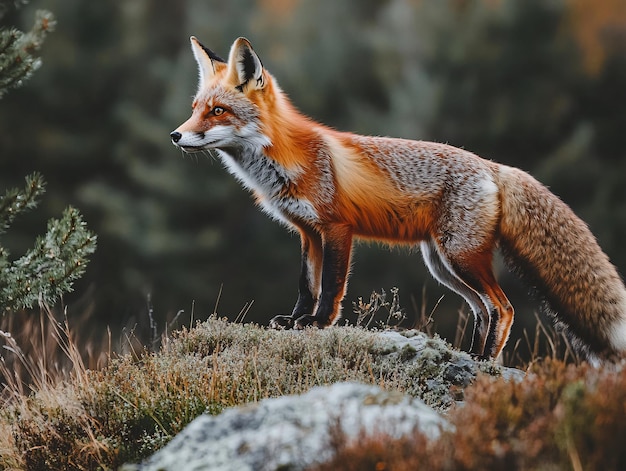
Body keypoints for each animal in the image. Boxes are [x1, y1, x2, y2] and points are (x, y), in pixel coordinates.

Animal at [168, 37, 624, 364]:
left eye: (218, 111)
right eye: (195, 109)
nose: (176, 135)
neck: (286, 157)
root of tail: (493, 166)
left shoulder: (337, 228)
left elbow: (330, 286)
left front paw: (317, 324)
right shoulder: (307, 232)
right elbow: (305, 285)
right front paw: (295, 321)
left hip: (460, 257)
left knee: (505, 308)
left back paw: (486, 363)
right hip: (443, 265)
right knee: (485, 310)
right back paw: (473, 357)